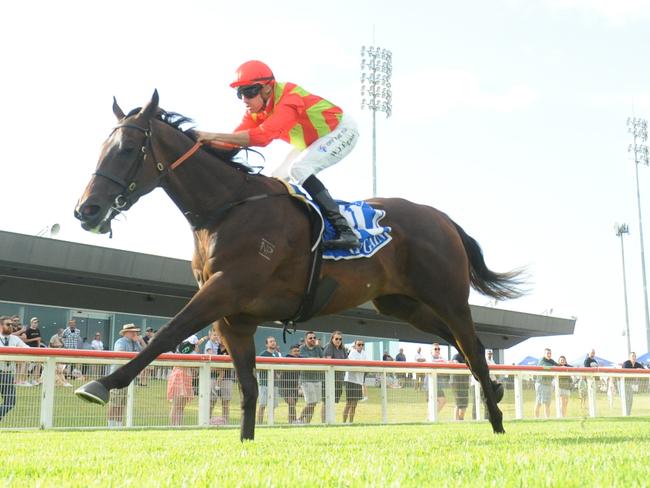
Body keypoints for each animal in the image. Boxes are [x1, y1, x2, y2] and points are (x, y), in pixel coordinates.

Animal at [73, 90, 524, 438]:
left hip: (447, 296)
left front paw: (101, 383)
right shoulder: (234, 317)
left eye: (126, 149)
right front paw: (245, 442)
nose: (86, 209)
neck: (227, 209)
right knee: (463, 343)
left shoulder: (224, 289)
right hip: (402, 304)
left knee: (472, 345)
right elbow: (249, 387)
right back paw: (496, 391)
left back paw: (498, 420)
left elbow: (168, 333)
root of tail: (442, 218)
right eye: (102, 148)